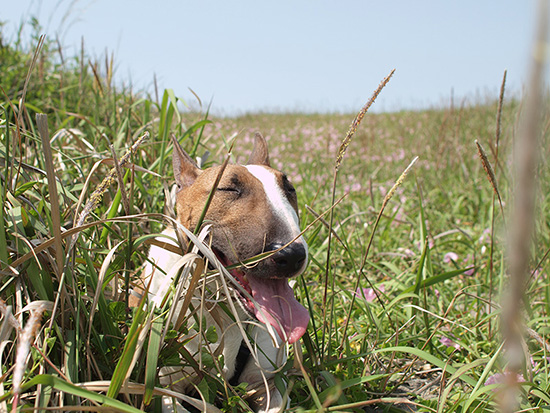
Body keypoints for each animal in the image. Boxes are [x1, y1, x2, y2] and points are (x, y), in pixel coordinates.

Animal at [142, 134, 310, 410]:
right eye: (228, 189)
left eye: (290, 189)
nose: (292, 255)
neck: (226, 315)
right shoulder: (164, 389)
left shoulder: (267, 385)